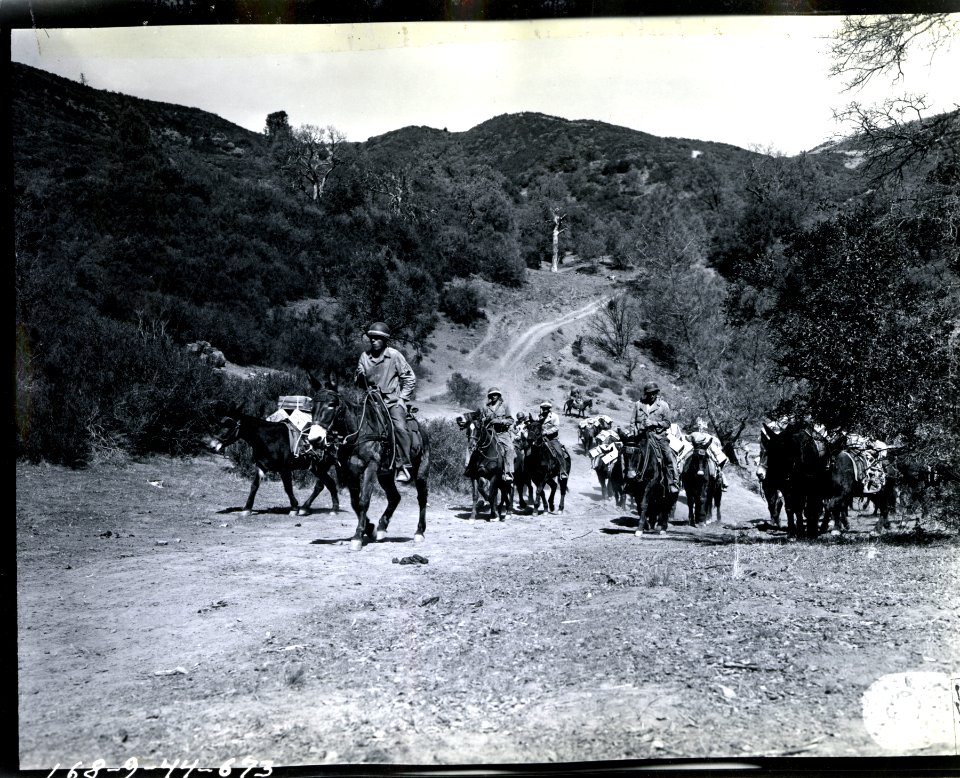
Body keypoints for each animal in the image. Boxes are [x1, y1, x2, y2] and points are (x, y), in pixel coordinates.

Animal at [310, 384, 430, 548]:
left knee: (422, 498)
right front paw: (370, 529)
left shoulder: (370, 468)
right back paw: (382, 527)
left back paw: (419, 532)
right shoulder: (351, 472)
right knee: (395, 497)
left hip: (420, 472)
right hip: (385, 476)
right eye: (311, 407)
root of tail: (421, 431)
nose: (314, 439)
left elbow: (364, 501)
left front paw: (357, 537)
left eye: (331, 404)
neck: (358, 433)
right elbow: (355, 502)